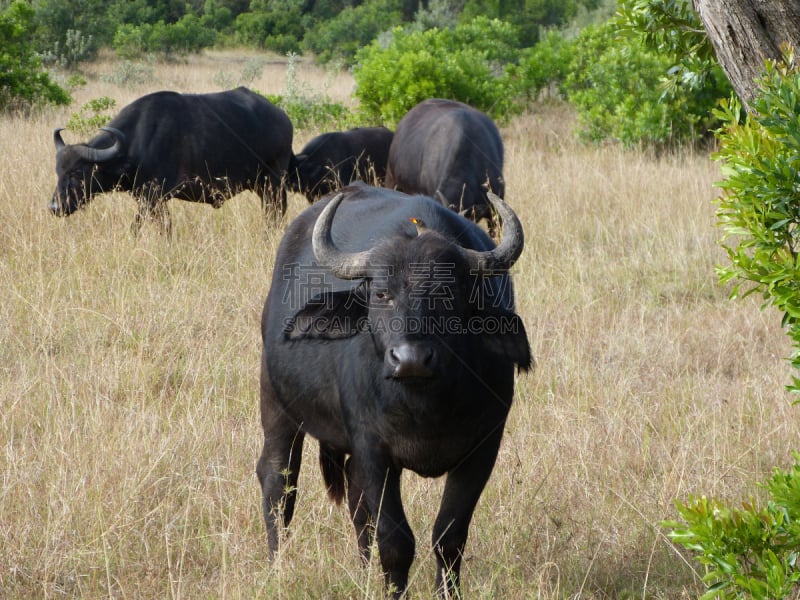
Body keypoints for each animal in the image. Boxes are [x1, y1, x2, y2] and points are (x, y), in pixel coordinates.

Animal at [50, 86, 294, 232]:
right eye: (58, 172)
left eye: (78, 173)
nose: (54, 207)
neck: (136, 143)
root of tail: (283, 118)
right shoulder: (145, 199)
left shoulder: (154, 197)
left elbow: (156, 227)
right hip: (262, 186)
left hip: (273, 183)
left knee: (276, 215)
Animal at [256, 182, 532, 596]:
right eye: (382, 294)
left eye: (448, 293)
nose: (410, 359)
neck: (424, 406)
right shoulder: (373, 447)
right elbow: (396, 540)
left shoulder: (483, 447)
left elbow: (449, 535)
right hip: (276, 403)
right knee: (279, 481)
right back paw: (277, 567)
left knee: (356, 502)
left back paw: (363, 573)